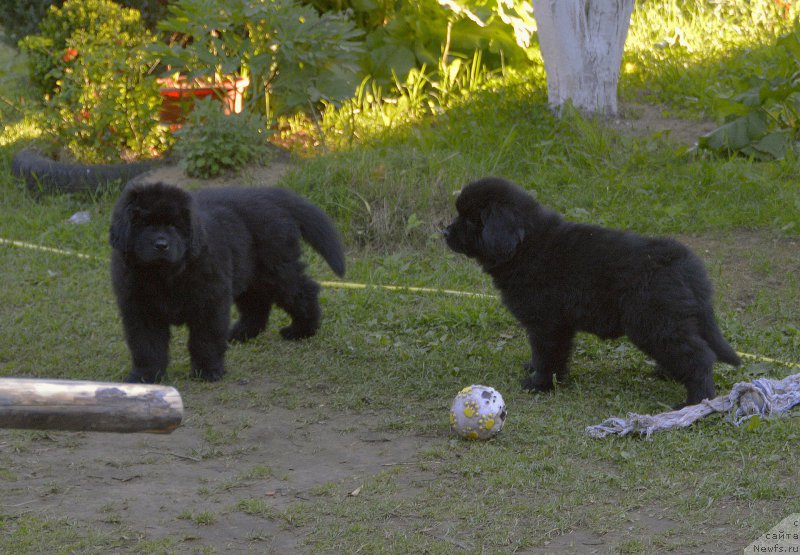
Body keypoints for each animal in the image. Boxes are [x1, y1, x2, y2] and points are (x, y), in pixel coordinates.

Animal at [108, 181, 346, 382]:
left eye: (174, 226)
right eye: (144, 224)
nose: (161, 245)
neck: (165, 276)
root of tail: (268, 194)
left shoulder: (210, 301)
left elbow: (205, 339)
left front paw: (207, 371)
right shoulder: (141, 310)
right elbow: (147, 345)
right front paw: (144, 377)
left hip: (277, 269)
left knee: (303, 291)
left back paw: (302, 330)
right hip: (250, 274)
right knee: (257, 304)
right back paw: (241, 333)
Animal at [440, 176, 740, 406]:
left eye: (470, 220)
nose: (444, 232)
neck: (525, 246)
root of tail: (686, 265)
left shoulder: (547, 323)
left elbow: (547, 355)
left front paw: (538, 384)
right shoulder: (558, 324)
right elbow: (548, 354)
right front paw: (536, 371)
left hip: (653, 321)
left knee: (699, 356)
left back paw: (696, 400)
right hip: (672, 319)